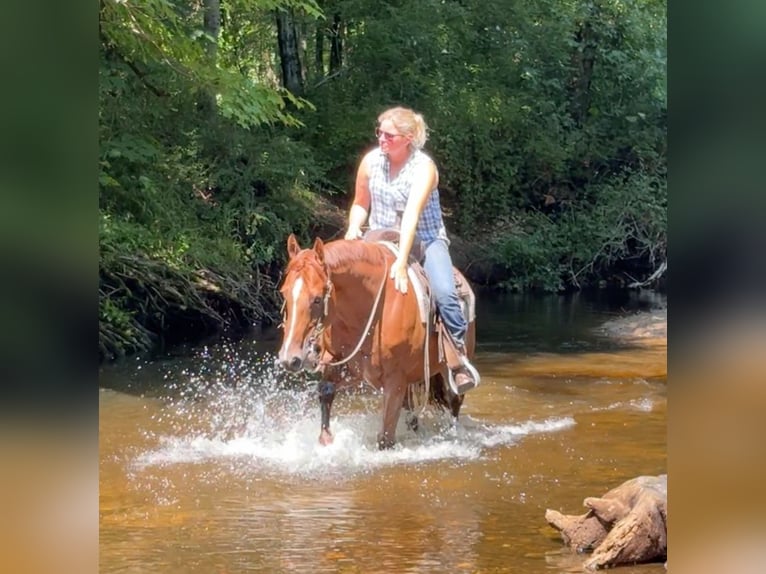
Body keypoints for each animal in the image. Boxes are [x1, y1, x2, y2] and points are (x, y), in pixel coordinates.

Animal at [280, 234, 476, 450]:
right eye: (284, 293)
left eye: (316, 299)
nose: (289, 358)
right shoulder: (343, 365)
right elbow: (326, 390)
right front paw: (326, 439)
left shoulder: (395, 381)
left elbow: (385, 438)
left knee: (454, 402)